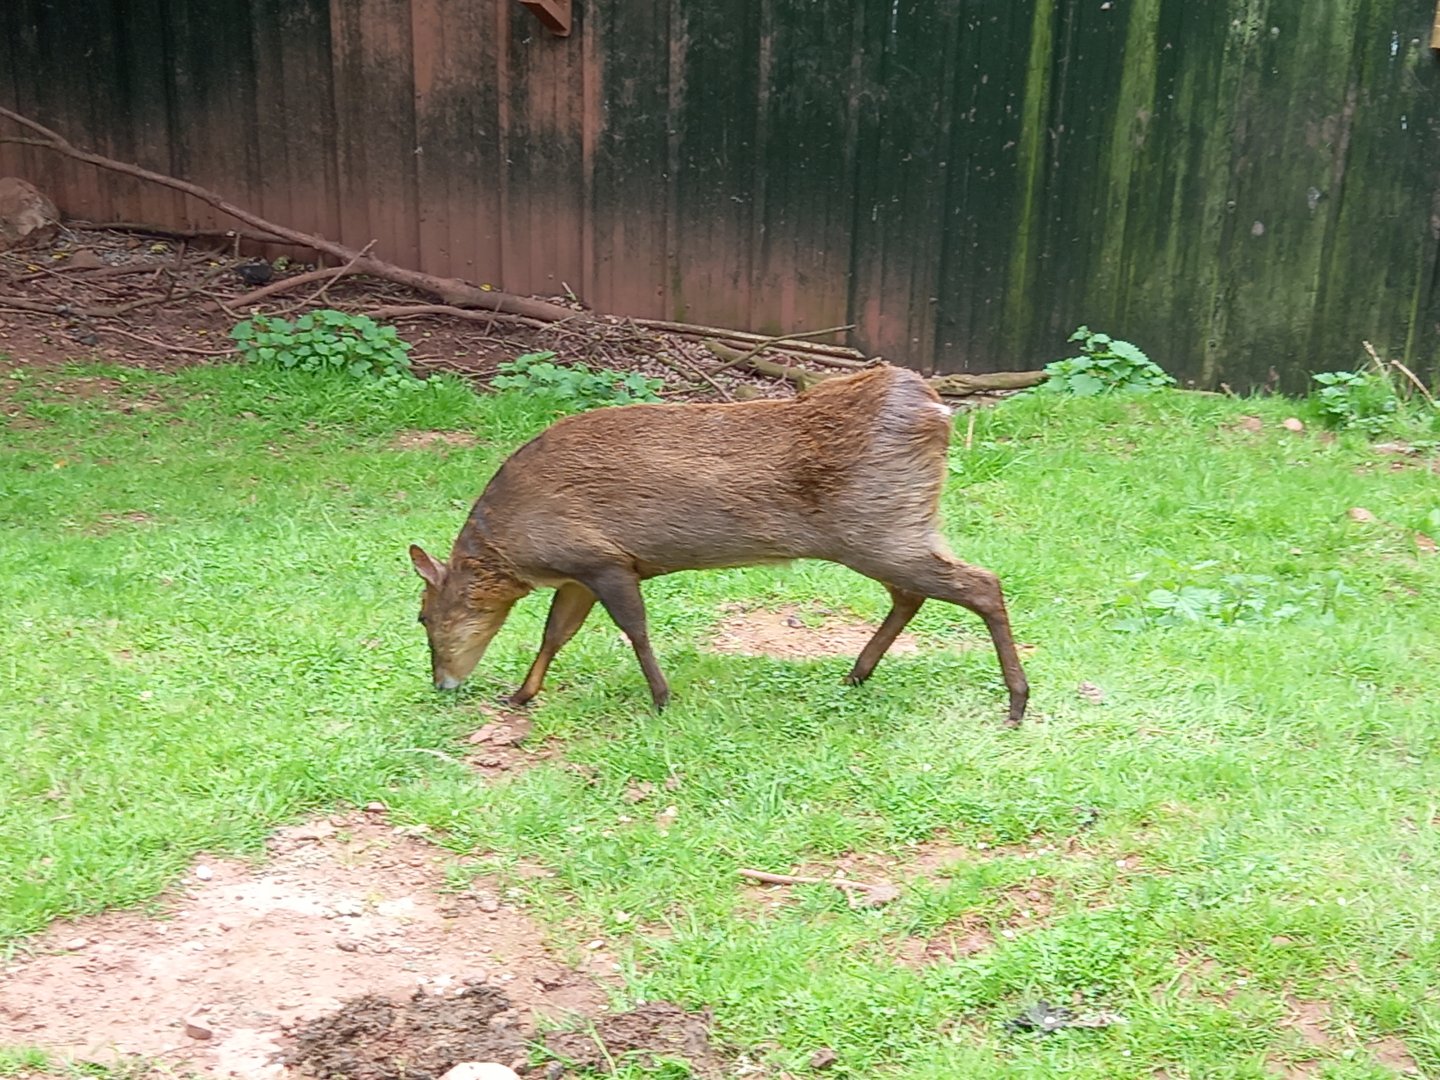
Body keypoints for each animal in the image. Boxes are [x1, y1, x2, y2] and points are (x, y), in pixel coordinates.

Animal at [407, 363, 1029, 726]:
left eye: (421, 616)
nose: (443, 683)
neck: (514, 545)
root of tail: (936, 406)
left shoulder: (602, 560)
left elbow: (633, 629)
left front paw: (662, 700)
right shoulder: (583, 571)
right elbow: (556, 634)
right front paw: (520, 695)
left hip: (881, 526)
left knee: (982, 584)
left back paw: (1016, 703)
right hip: (889, 529)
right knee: (913, 594)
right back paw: (855, 675)